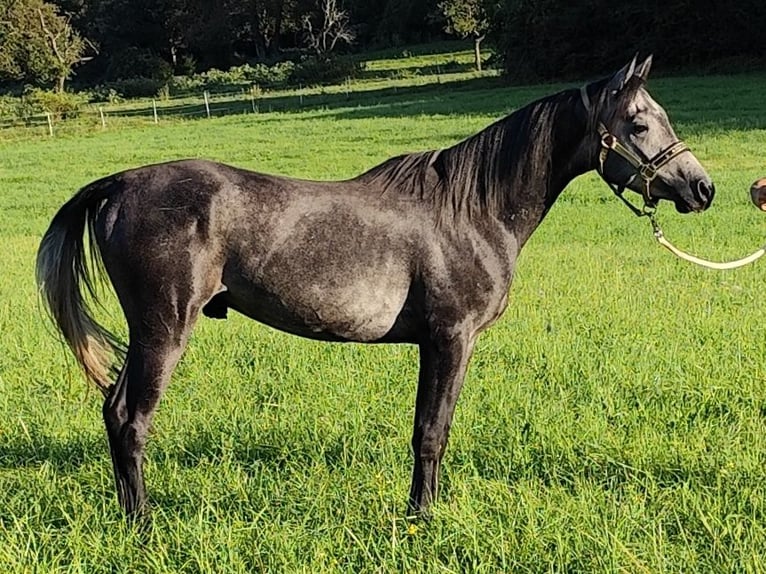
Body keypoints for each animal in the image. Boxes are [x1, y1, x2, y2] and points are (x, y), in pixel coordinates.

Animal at [39, 55, 716, 520]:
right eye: (638, 123)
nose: (701, 187)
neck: (470, 209)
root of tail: (120, 183)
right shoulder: (449, 340)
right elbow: (431, 432)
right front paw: (422, 517)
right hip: (163, 331)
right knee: (132, 420)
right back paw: (143, 523)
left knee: (113, 413)